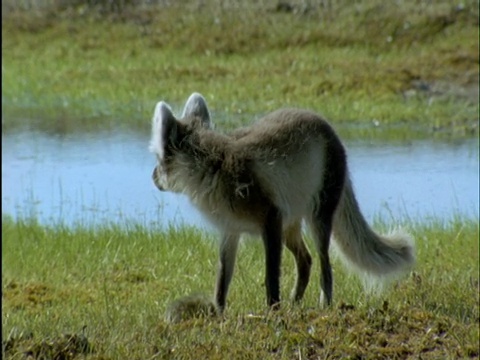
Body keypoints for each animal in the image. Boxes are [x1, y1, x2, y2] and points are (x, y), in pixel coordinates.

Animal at [148, 93, 414, 312]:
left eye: (158, 160)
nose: (152, 178)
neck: (216, 167)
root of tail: (327, 126)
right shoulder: (231, 230)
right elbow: (222, 279)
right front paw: (220, 313)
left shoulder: (270, 219)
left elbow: (271, 278)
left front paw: (273, 312)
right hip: (290, 226)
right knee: (305, 261)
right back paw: (295, 304)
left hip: (317, 219)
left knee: (325, 268)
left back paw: (324, 305)